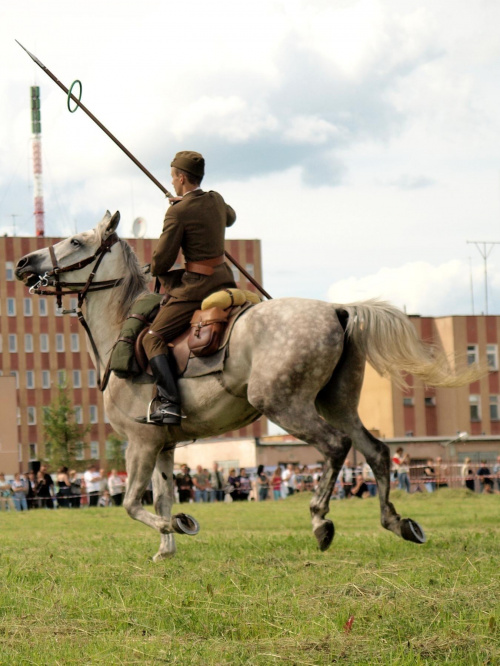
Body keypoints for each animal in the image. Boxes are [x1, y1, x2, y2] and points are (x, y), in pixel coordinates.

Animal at [14, 210, 476, 556]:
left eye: (76, 242)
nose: (21, 264)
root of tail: (337, 309)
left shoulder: (140, 443)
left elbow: (131, 503)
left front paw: (178, 526)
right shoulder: (163, 445)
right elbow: (162, 495)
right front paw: (166, 548)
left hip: (284, 404)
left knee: (335, 447)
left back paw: (320, 520)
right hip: (337, 403)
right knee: (376, 452)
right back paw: (397, 522)